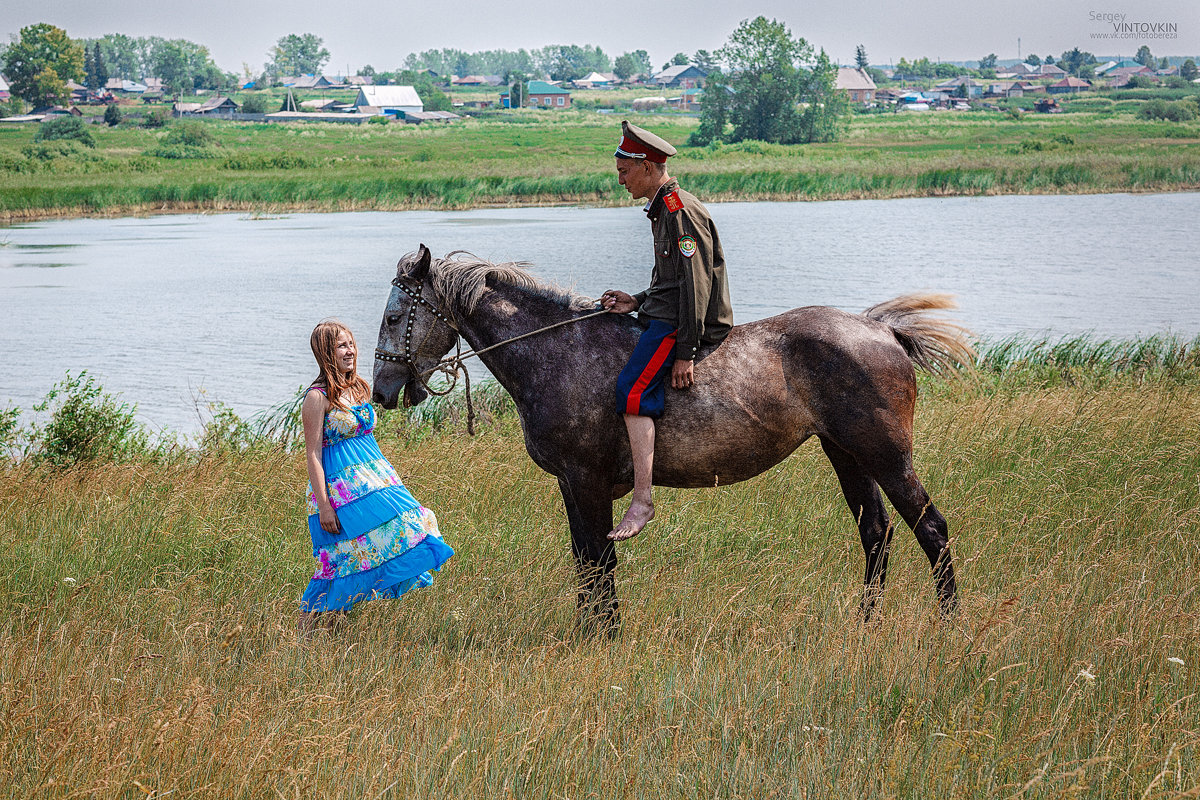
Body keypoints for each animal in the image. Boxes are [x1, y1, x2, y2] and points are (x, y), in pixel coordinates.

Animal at [372, 244, 974, 633]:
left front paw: (603, 636)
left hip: (886, 456)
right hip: (847, 456)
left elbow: (597, 560)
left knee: (931, 529)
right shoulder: (571, 485)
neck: (558, 351)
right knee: (876, 533)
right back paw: (867, 624)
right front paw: (593, 631)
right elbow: (587, 560)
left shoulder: (586, 481)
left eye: (395, 316)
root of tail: (880, 330)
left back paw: (948, 624)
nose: (382, 390)